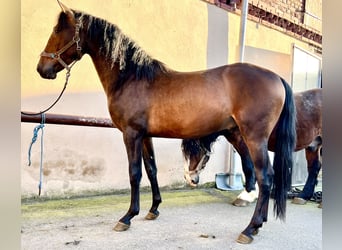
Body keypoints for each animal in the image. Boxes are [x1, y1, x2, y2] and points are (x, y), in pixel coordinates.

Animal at [35, 1, 296, 244]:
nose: (41, 69)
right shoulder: (145, 135)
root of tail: (276, 77)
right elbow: (151, 170)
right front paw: (153, 209)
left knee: (265, 176)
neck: (131, 78)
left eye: (58, 31)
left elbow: (134, 173)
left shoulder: (131, 134)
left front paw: (127, 217)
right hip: (236, 133)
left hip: (254, 137)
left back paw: (250, 228)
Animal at [183, 89, 322, 206]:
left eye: (196, 148)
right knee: (314, 167)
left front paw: (247, 195)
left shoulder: (245, 144)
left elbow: (248, 166)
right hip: (313, 145)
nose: (191, 179)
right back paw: (303, 196)